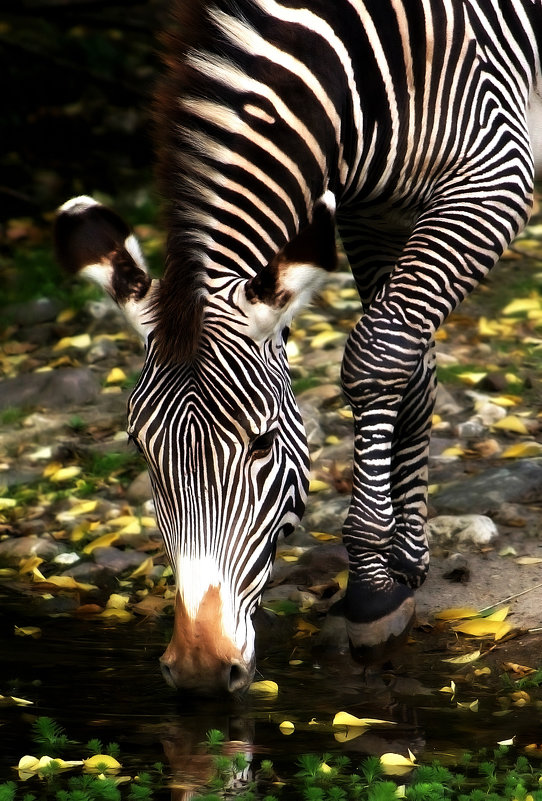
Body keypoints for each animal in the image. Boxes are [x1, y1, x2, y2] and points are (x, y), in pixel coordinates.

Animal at [55, 0, 542, 692]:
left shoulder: (493, 172)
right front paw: (404, 566)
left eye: (262, 444)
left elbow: (377, 353)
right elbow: (412, 366)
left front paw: (370, 589)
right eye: (140, 451)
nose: (201, 672)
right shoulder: (370, 210)